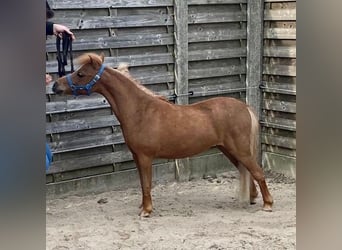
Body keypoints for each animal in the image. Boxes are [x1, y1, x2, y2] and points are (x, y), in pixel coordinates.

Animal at [52, 53, 272, 217]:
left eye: (81, 74)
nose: (55, 86)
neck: (140, 110)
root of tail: (244, 107)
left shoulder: (145, 157)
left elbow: (147, 183)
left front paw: (146, 211)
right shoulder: (137, 157)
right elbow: (143, 183)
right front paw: (143, 207)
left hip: (239, 150)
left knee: (258, 172)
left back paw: (267, 204)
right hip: (229, 151)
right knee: (248, 171)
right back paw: (252, 198)